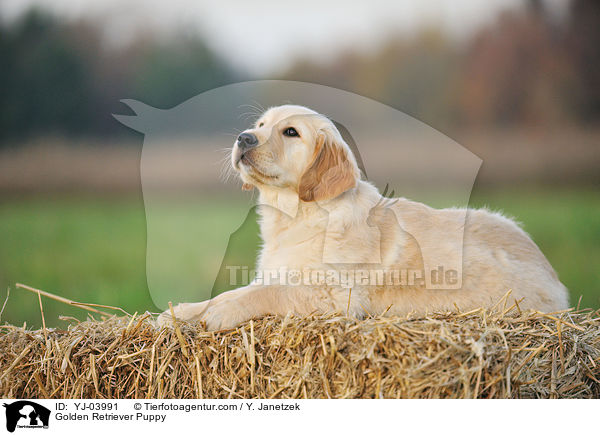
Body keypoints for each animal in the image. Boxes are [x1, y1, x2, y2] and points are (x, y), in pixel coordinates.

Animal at [157, 105, 568, 330]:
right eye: (260, 126)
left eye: (291, 132)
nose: (244, 138)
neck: (300, 215)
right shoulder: (275, 272)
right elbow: (238, 288)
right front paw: (181, 312)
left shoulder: (338, 296)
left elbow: (268, 292)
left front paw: (222, 313)